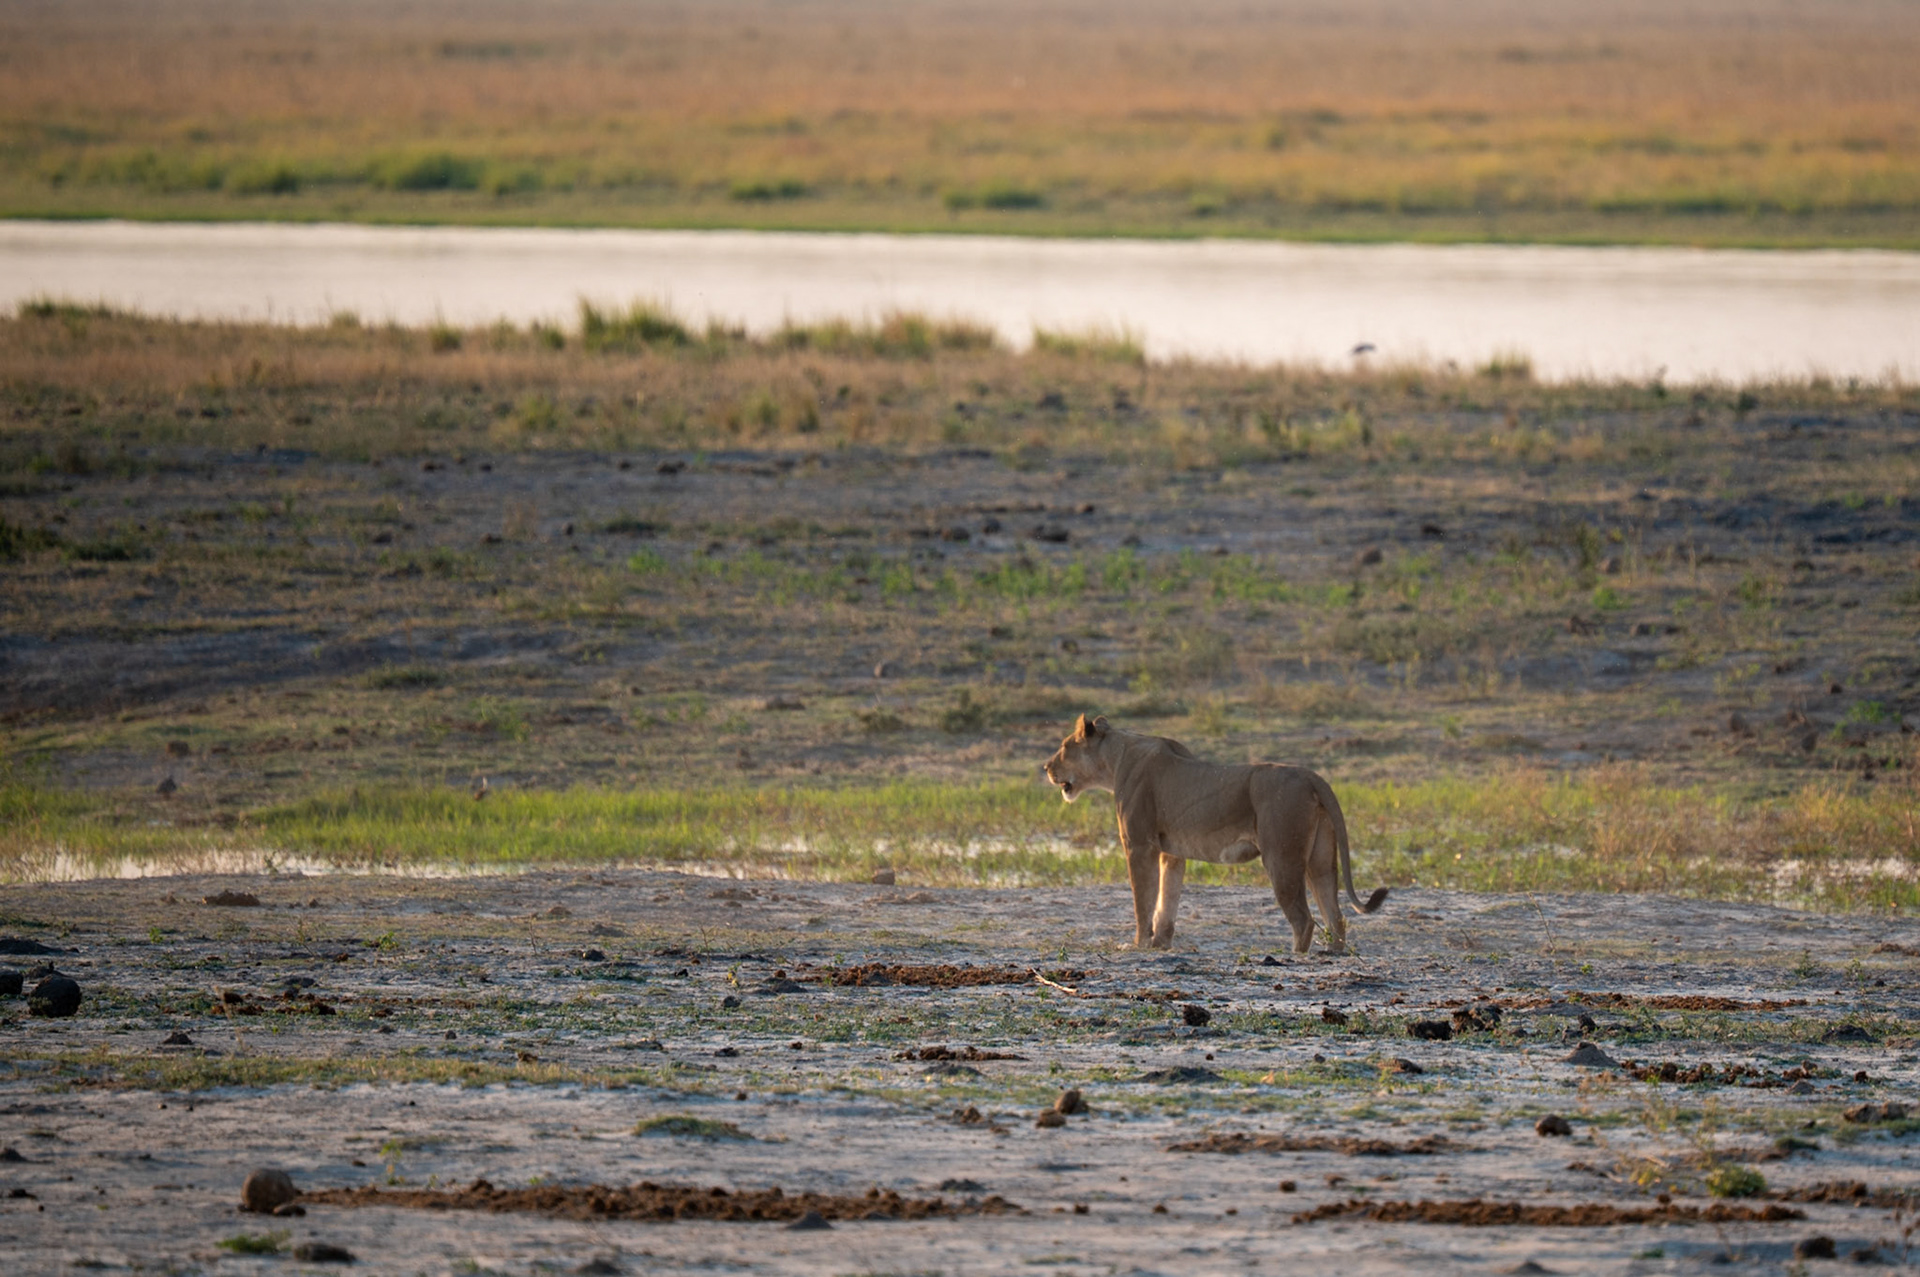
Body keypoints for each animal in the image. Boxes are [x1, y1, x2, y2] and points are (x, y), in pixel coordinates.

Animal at [1044, 714, 1386, 953]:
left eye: (1063, 748)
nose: (1046, 767)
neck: (1115, 759)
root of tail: (1312, 775)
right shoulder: (1170, 852)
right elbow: (1166, 900)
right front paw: (1160, 944)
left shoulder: (1139, 845)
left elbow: (1143, 900)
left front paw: (1138, 944)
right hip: (1320, 858)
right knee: (1335, 915)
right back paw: (1332, 953)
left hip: (1281, 856)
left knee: (1304, 919)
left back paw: (1291, 956)